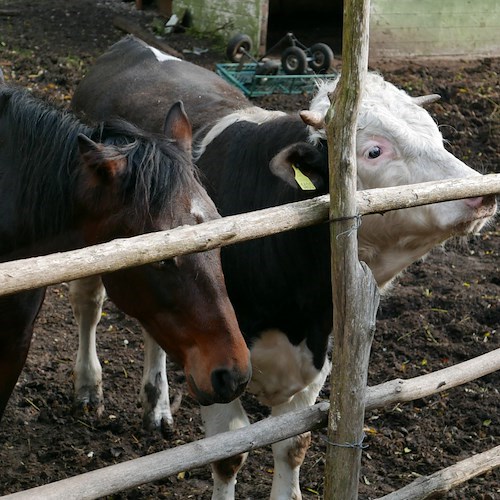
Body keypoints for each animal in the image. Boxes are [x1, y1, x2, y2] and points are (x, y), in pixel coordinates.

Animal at [70, 36, 496, 500]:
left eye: (438, 137)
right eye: (374, 150)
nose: (482, 191)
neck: (296, 308)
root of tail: (133, 44)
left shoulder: (314, 356)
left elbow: (293, 444)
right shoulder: (219, 365)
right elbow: (229, 451)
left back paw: (157, 406)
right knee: (89, 304)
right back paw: (89, 387)